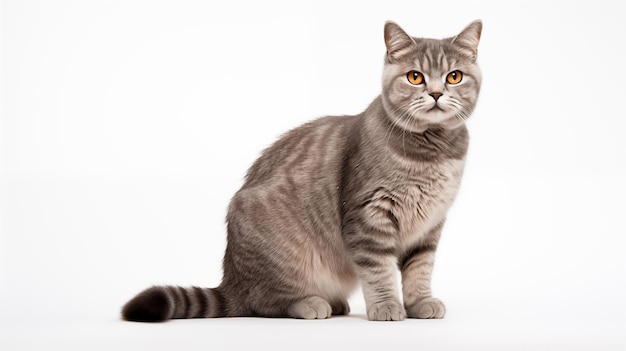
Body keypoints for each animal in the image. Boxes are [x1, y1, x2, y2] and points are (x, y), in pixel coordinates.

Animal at [123, 18, 482, 322]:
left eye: (453, 76)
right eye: (414, 77)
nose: (435, 93)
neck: (432, 152)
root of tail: (231, 280)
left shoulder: (429, 226)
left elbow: (419, 269)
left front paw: (419, 303)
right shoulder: (368, 217)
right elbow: (378, 269)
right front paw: (386, 306)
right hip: (283, 257)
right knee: (264, 303)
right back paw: (311, 304)